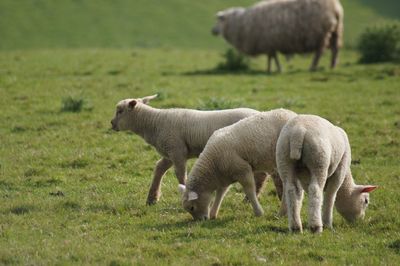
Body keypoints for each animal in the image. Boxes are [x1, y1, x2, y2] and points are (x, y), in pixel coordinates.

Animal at [108, 95, 278, 206]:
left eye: (120, 111)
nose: (112, 124)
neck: (153, 123)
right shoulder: (170, 153)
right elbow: (159, 169)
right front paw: (152, 198)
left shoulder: (177, 151)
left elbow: (181, 175)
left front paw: (187, 196)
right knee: (261, 174)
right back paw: (249, 198)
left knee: (261, 174)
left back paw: (248, 199)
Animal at [212, 0, 344, 72]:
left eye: (219, 20)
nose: (212, 31)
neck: (242, 23)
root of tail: (336, 8)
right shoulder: (269, 44)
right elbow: (271, 57)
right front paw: (271, 69)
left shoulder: (269, 43)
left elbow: (272, 57)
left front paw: (274, 69)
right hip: (336, 31)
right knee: (335, 49)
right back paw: (333, 65)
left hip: (322, 34)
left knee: (319, 52)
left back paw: (313, 67)